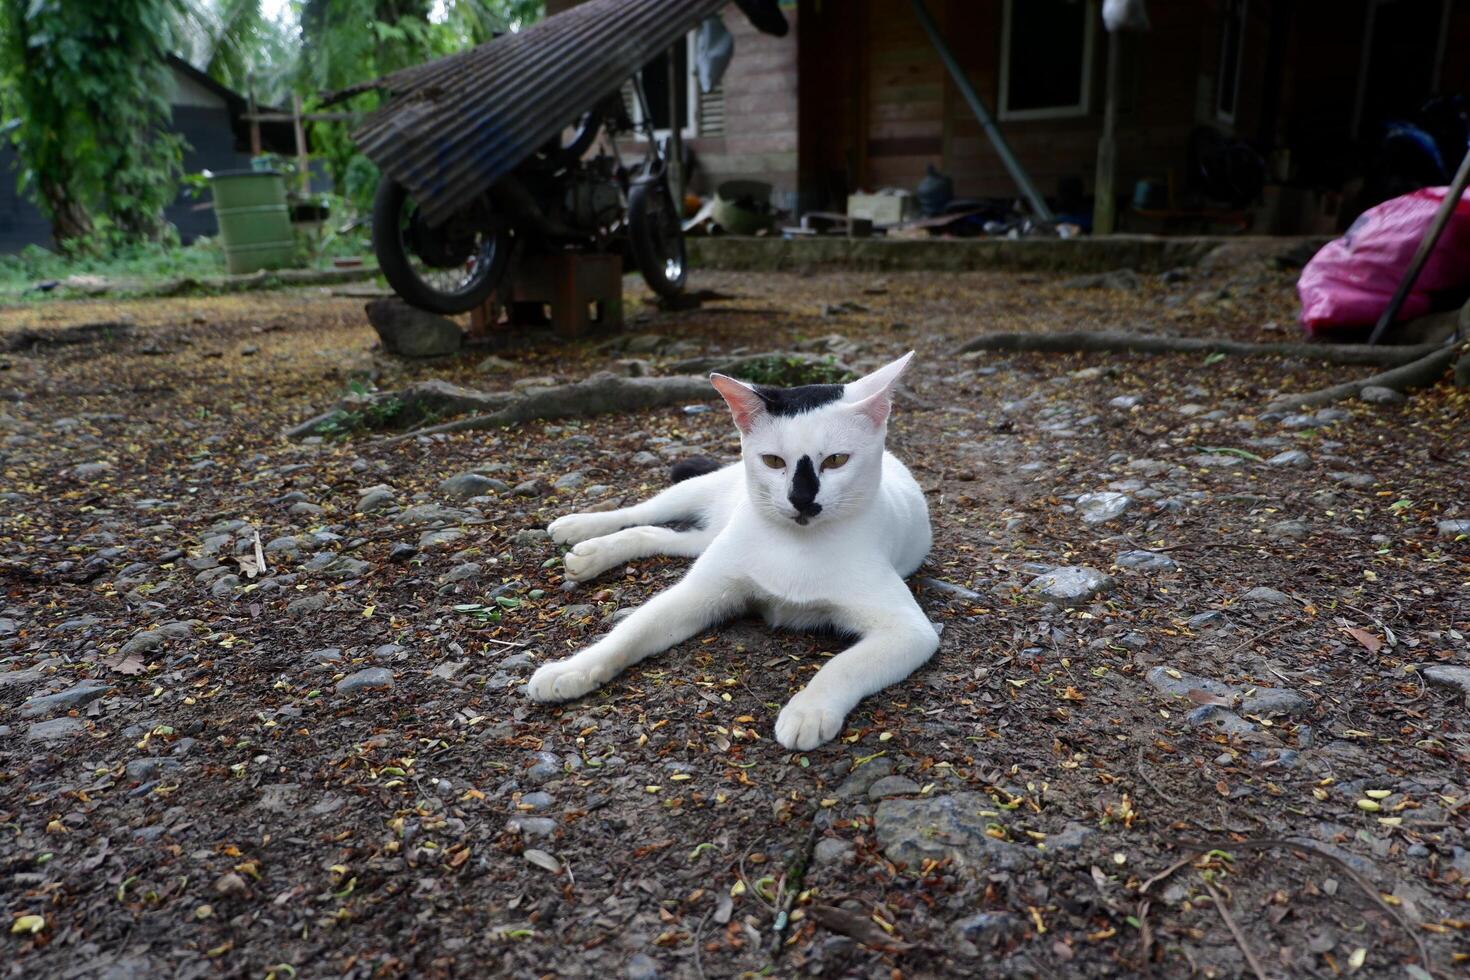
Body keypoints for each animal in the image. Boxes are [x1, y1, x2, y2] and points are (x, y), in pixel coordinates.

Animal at [532, 352, 940, 752]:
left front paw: (809, 709)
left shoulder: (910, 630)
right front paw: (571, 669)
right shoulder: (697, 593)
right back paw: (581, 529)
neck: (793, 545)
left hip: (707, 538)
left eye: (836, 460)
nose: (802, 500)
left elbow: (844, 665)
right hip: (693, 492)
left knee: (657, 533)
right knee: (641, 513)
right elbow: (629, 633)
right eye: (773, 461)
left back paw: (590, 553)